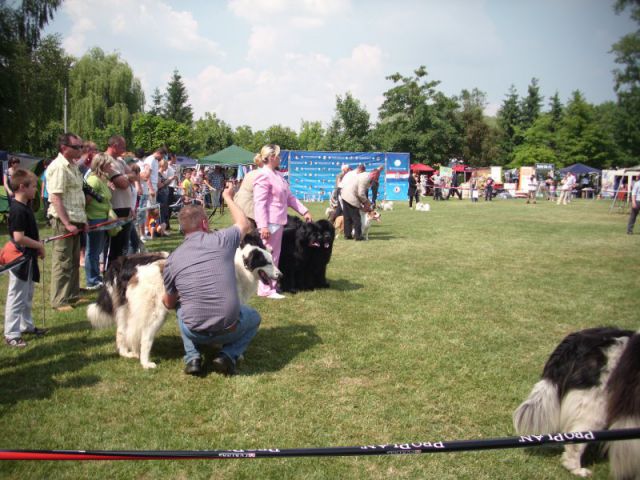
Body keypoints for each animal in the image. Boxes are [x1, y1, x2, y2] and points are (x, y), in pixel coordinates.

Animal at [87, 234, 280, 370]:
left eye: (272, 260)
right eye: (267, 263)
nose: (281, 275)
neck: (240, 265)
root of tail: (124, 261)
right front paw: (235, 355)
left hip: (126, 308)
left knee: (124, 331)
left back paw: (127, 353)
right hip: (155, 313)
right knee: (144, 336)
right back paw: (145, 362)